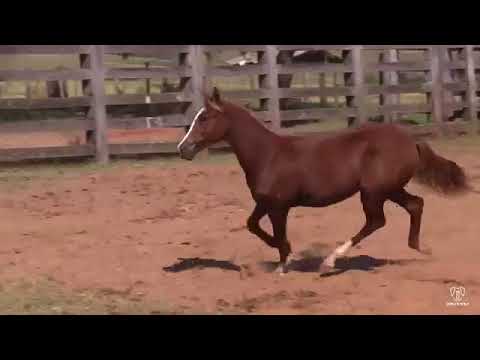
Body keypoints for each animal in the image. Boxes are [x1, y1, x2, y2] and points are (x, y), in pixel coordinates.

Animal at [178, 88, 466, 274]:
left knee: (376, 221)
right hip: (390, 189)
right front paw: (284, 254)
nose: (183, 149)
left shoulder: (279, 206)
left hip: (373, 192)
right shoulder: (265, 203)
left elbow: (278, 234)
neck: (267, 155)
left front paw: (285, 262)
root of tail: (410, 141)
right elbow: (252, 225)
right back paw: (420, 248)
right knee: (415, 205)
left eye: (204, 118)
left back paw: (329, 262)